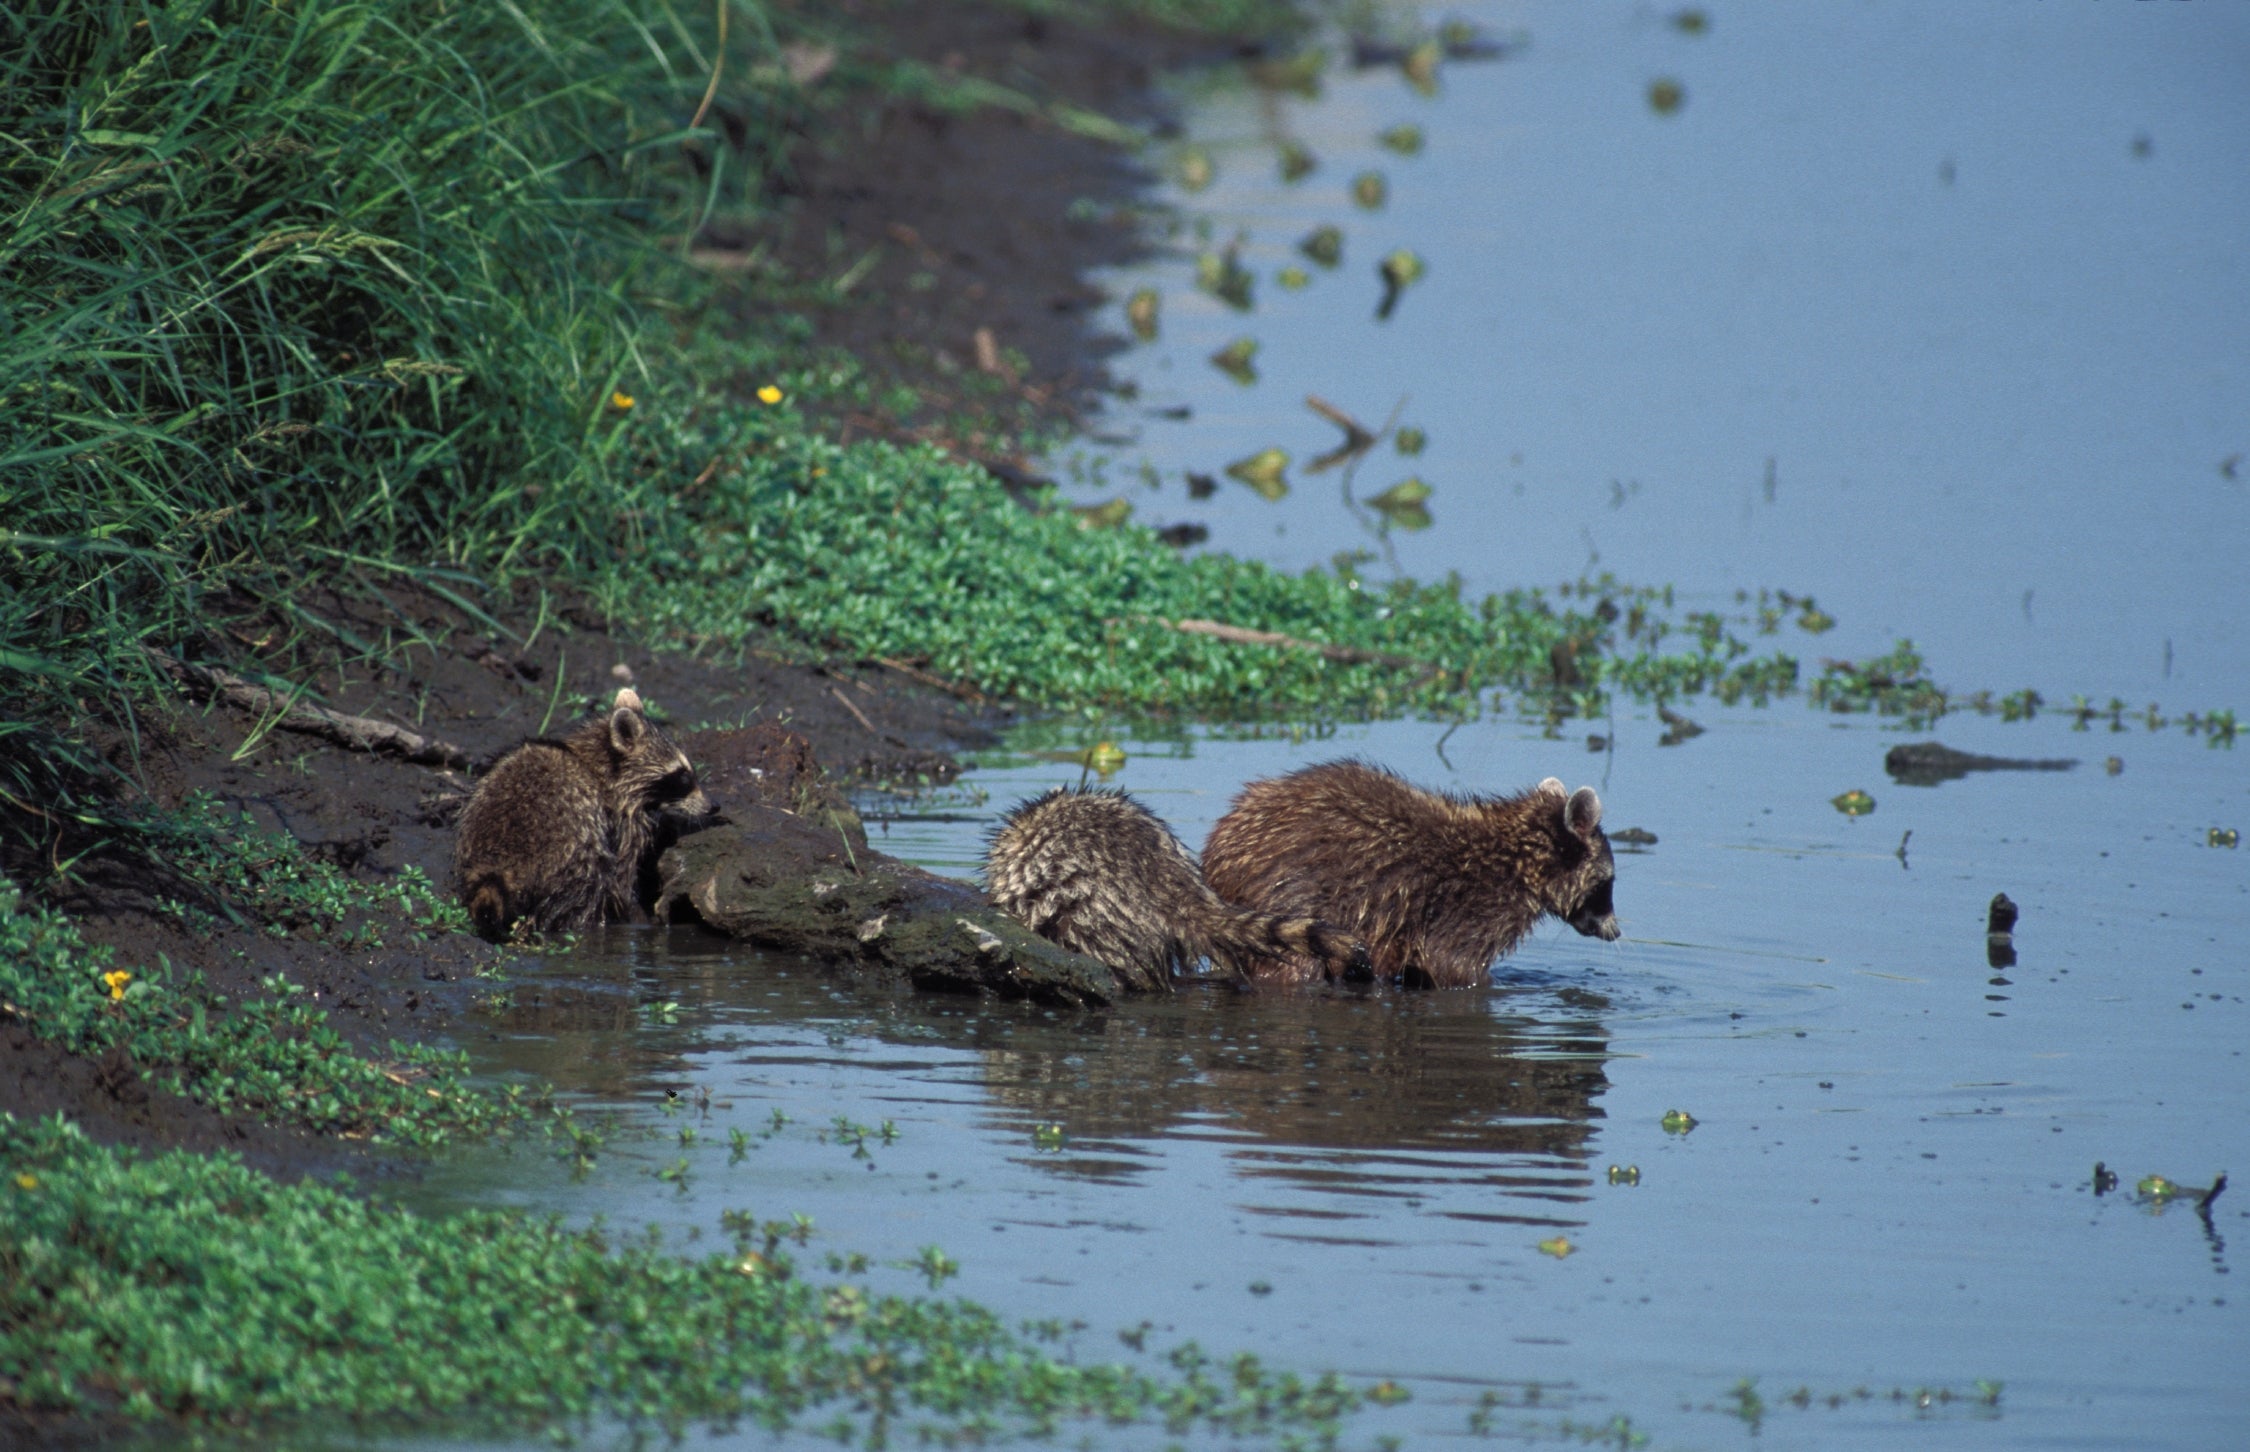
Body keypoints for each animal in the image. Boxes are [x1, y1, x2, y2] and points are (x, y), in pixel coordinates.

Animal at [445, 688, 711, 940]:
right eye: (683, 776)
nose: (714, 806)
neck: (595, 762)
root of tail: (497, 868)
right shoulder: (620, 817)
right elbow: (622, 878)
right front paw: (637, 916)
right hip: (575, 854)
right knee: (588, 891)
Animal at [1206, 760, 1629, 986]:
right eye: (1607, 883)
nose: (1616, 931)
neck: (1520, 859)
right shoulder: (1470, 912)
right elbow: (1453, 968)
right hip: (1290, 898)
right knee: (1295, 968)